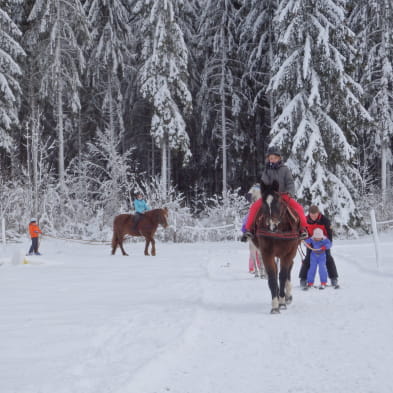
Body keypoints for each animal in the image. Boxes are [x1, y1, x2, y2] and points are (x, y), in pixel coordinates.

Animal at [251, 180, 300, 312]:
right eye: (263, 204)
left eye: (278, 202)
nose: (271, 226)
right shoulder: (266, 253)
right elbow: (272, 277)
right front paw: (275, 305)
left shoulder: (288, 253)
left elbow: (282, 276)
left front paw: (282, 302)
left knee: (288, 271)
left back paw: (287, 296)